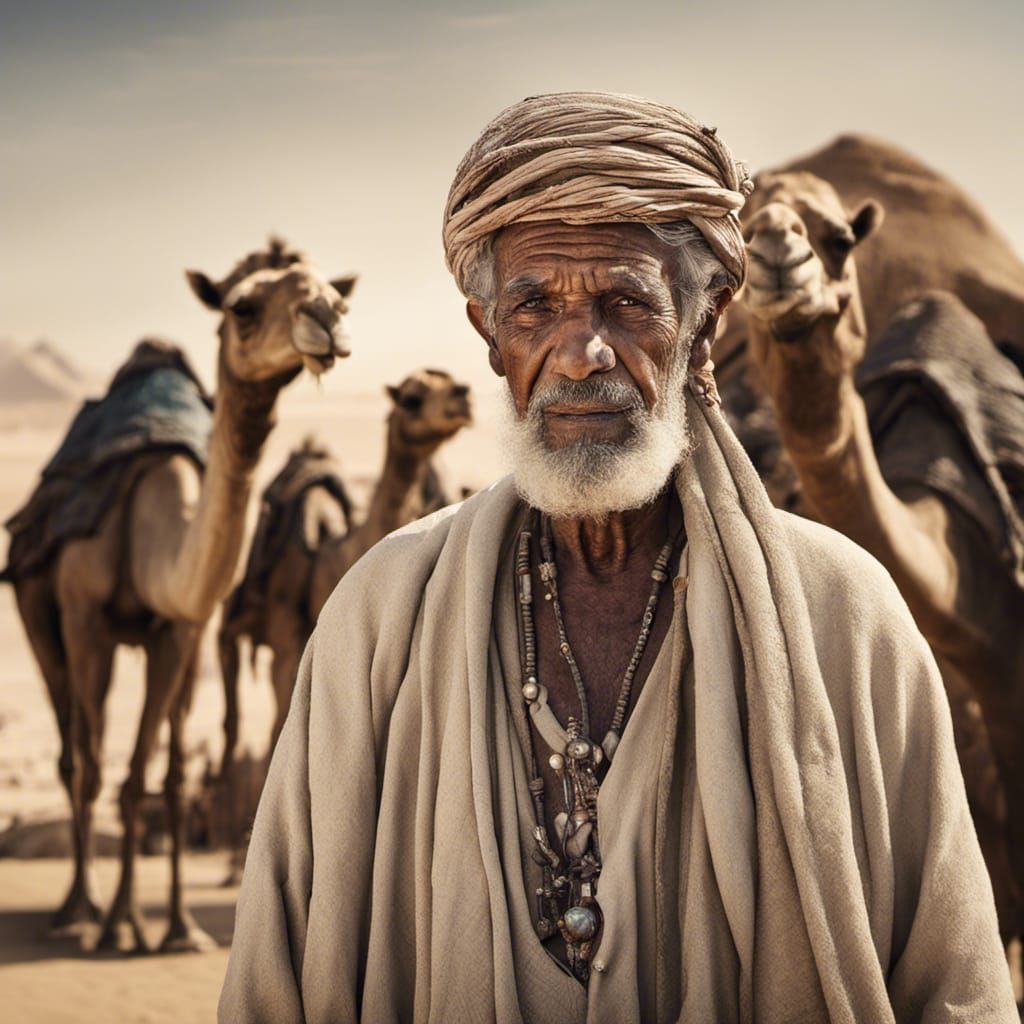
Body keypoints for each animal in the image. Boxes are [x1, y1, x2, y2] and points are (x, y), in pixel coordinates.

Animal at [2, 238, 356, 953]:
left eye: (331, 288)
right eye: (242, 305)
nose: (328, 317)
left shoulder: (183, 629)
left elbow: (155, 775)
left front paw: (170, 928)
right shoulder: (87, 622)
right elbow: (95, 766)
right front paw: (105, 919)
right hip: (39, 616)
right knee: (71, 751)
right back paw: (73, 906)